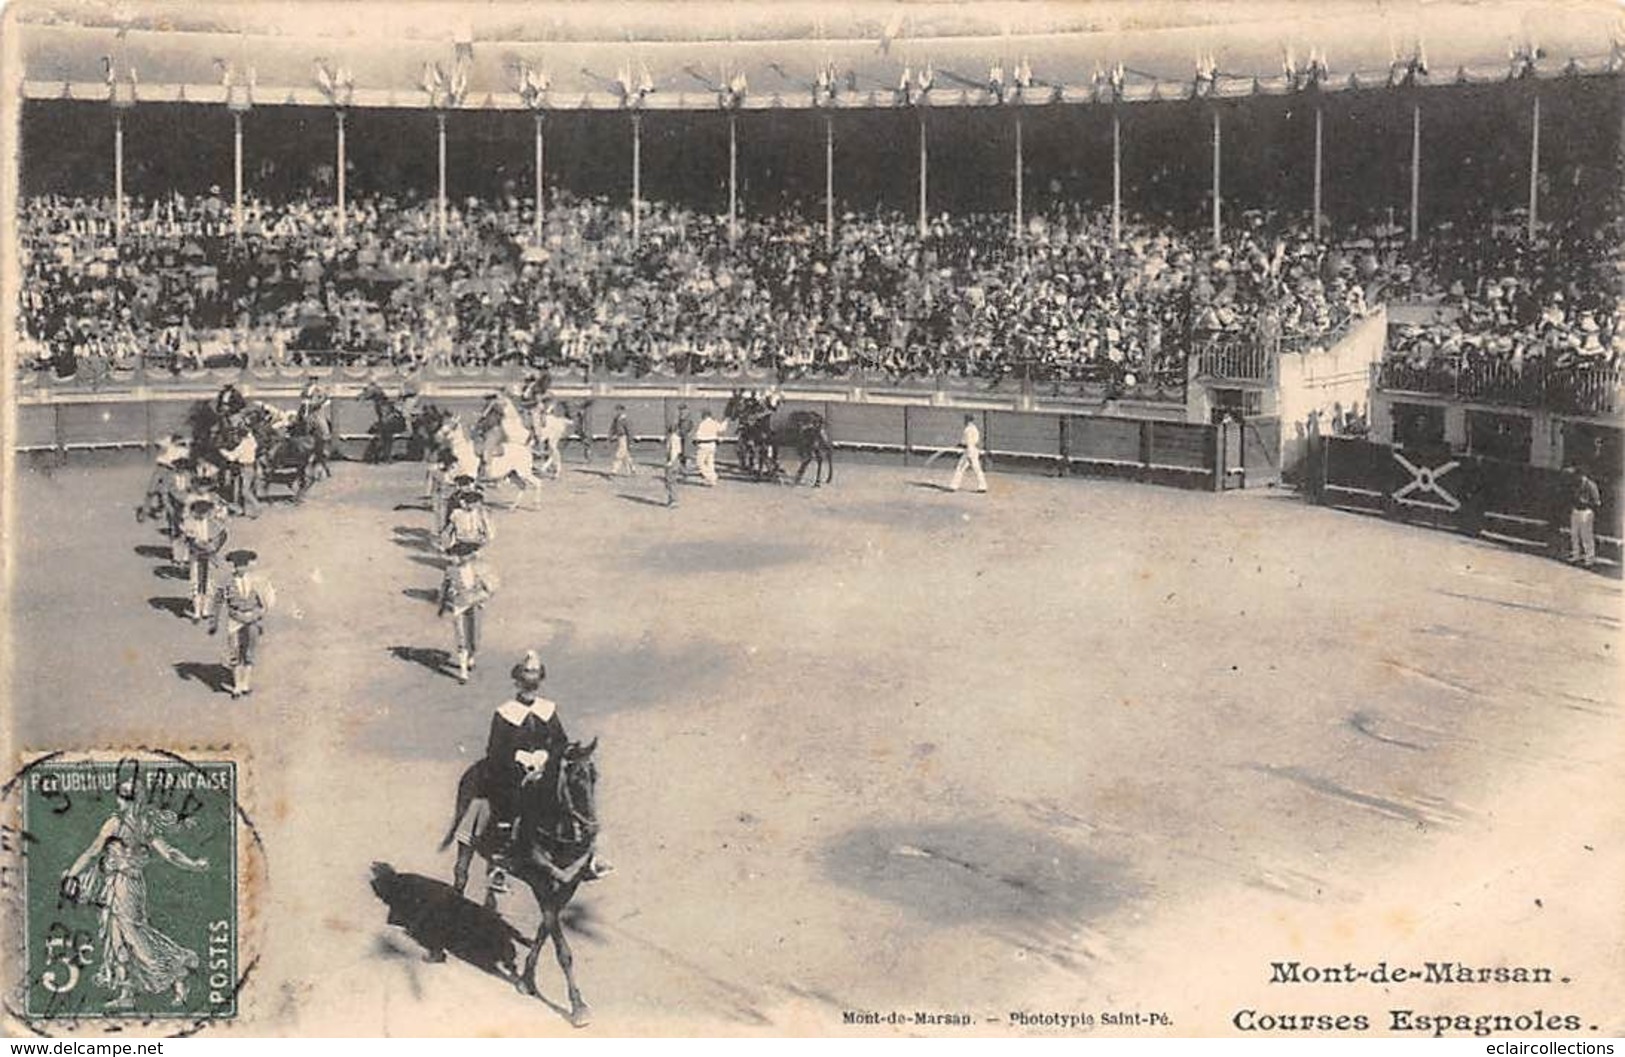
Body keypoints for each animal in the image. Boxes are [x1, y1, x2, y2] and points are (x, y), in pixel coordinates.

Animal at [442, 738, 601, 1027]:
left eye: (595, 776)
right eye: (575, 777)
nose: (592, 830)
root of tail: (476, 765)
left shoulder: (566, 887)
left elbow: (544, 931)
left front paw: (527, 980)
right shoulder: (541, 885)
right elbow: (562, 948)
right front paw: (578, 1007)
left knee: (491, 876)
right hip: (466, 837)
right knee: (460, 876)